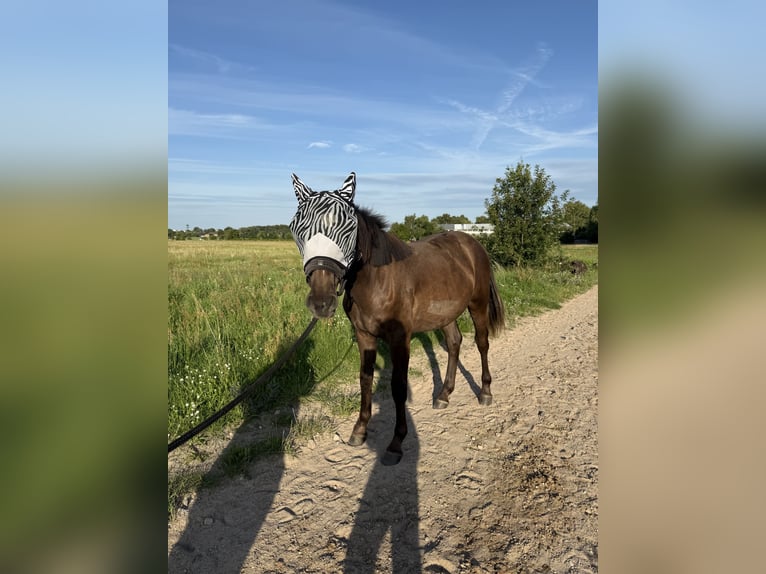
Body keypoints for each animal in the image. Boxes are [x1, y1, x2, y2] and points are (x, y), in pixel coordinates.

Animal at [289, 172, 505, 465]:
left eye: (348, 228)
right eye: (297, 228)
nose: (321, 302)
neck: (377, 279)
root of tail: (472, 243)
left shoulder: (400, 338)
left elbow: (399, 386)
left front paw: (395, 443)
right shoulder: (364, 335)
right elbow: (365, 379)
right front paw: (359, 430)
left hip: (478, 304)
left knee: (482, 343)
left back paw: (485, 393)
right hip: (445, 312)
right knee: (454, 343)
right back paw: (443, 395)